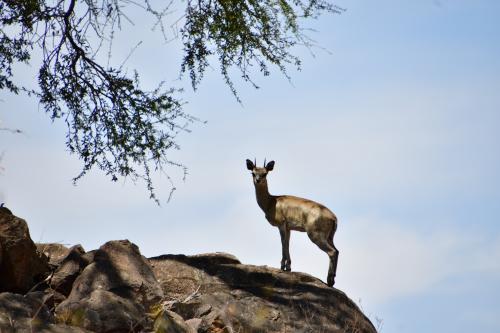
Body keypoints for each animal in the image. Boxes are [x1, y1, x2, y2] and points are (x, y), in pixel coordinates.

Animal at [246, 158, 340, 286]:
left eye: (265, 173)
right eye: (253, 173)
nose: (258, 180)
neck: (271, 202)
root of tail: (334, 218)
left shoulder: (281, 224)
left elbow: (283, 243)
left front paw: (282, 267)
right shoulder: (289, 228)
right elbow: (288, 243)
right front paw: (288, 267)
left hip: (315, 235)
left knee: (332, 252)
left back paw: (329, 280)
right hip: (330, 237)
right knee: (337, 251)